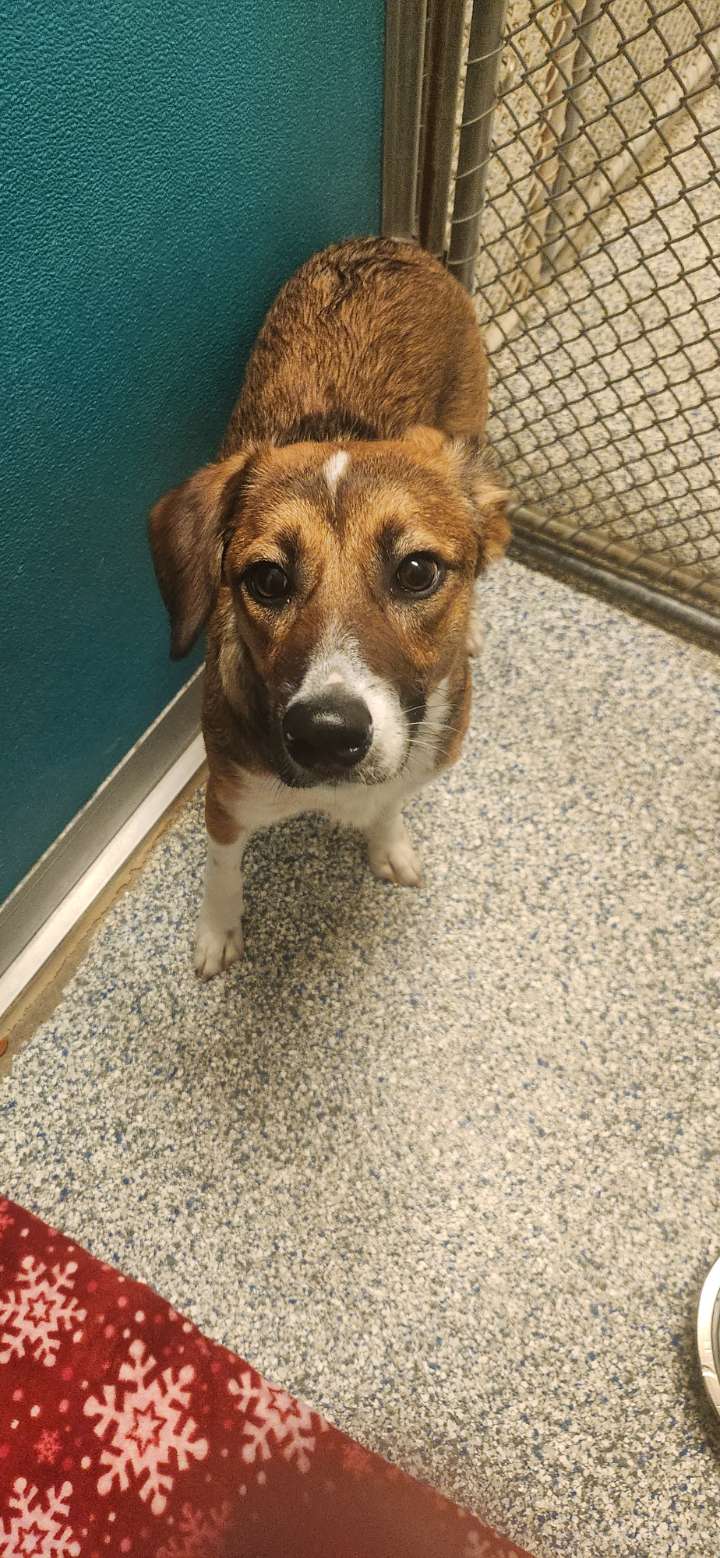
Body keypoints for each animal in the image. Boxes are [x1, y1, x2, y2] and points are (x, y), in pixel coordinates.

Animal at [149, 237, 509, 977]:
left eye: (418, 571)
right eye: (267, 580)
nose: (325, 733)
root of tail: (394, 244)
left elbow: (392, 803)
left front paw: (389, 844)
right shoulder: (226, 798)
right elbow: (223, 869)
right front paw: (218, 930)